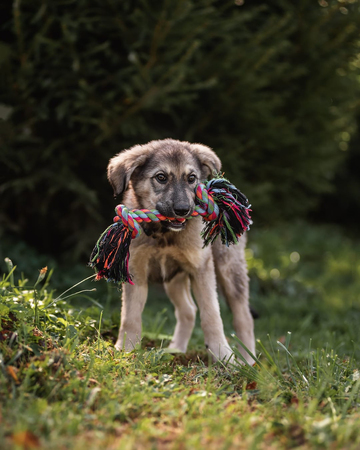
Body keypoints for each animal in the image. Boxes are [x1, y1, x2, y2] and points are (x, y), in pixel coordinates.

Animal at [107, 139, 256, 364]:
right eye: (161, 177)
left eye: (191, 178)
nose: (183, 209)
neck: (164, 234)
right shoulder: (136, 271)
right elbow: (130, 315)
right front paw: (126, 350)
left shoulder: (201, 268)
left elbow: (212, 315)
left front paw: (222, 355)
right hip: (173, 279)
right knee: (188, 310)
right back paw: (175, 350)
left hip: (229, 269)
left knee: (244, 317)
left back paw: (248, 361)